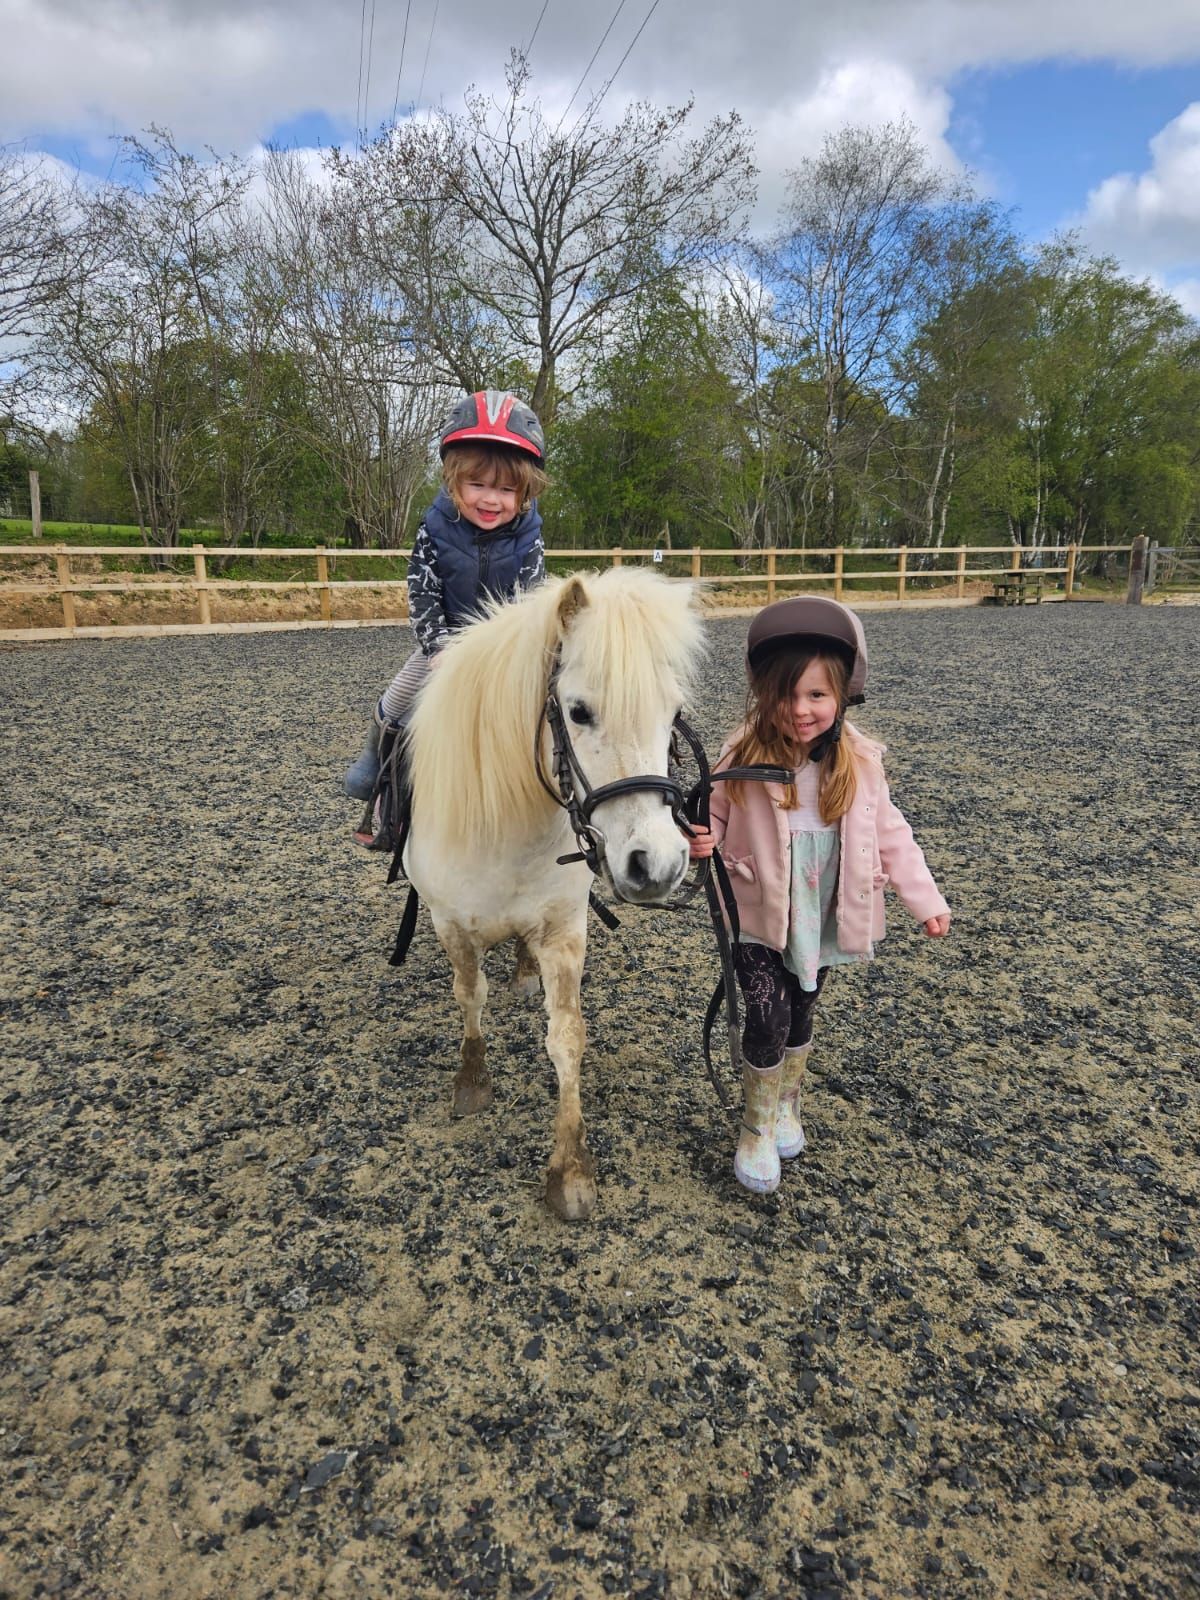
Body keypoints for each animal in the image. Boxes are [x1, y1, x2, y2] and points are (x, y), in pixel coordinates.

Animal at [403, 566, 705, 1221]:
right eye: (579, 711)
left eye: (674, 711)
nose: (659, 864)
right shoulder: (448, 923)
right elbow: (469, 997)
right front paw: (472, 1083)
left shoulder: (566, 929)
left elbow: (567, 1038)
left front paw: (569, 1172)